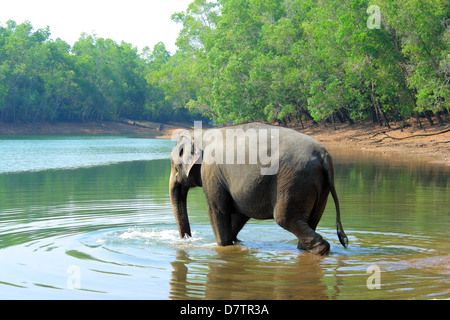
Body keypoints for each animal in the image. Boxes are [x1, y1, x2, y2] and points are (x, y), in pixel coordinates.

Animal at [169, 122, 348, 255]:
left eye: (172, 162)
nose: (187, 239)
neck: (202, 133)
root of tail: (323, 155)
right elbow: (240, 214)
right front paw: (234, 243)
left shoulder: (211, 172)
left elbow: (218, 211)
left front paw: (222, 245)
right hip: (319, 187)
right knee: (311, 220)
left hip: (294, 181)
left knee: (285, 218)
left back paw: (320, 249)